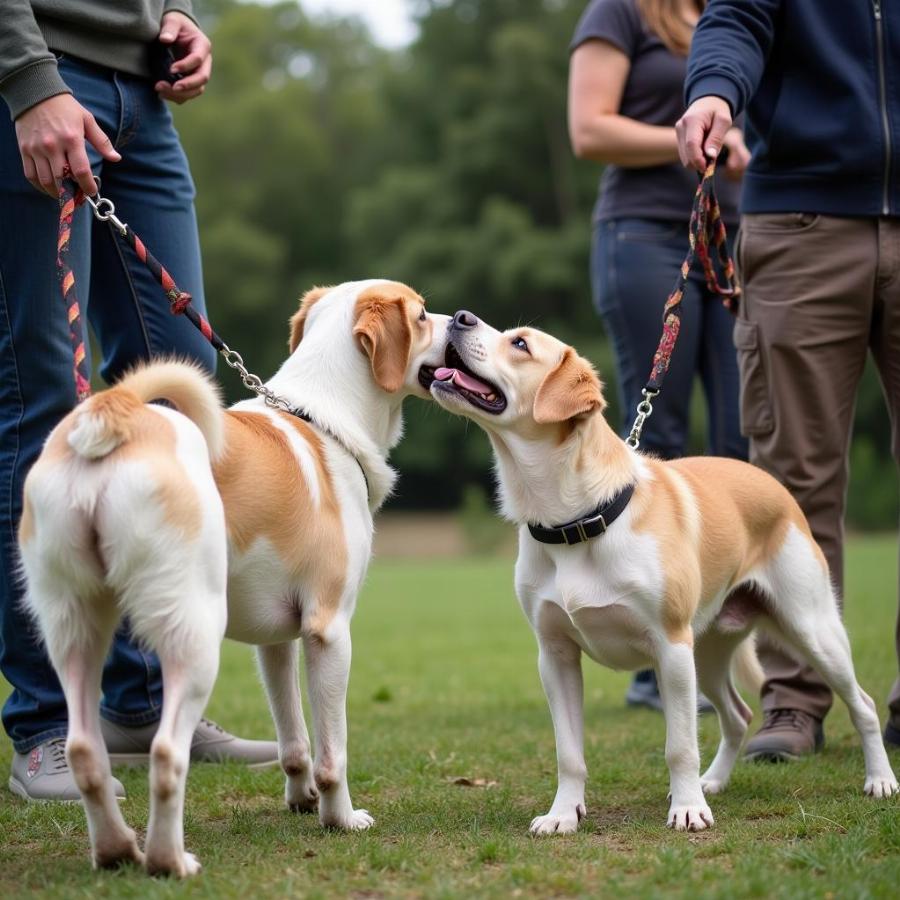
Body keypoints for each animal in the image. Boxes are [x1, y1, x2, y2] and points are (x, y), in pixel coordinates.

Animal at [21, 280, 454, 872]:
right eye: (422, 315)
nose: (463, 320)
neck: (325, 423)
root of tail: (117, 414)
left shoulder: (275, 641)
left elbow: (293, 739)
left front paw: (300, 801)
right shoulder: (328, 631)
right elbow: (332, 752)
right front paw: (339, 818)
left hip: (76, 631)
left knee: (86, 750)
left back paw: (116, 851)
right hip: (196, 636)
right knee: (166, 753)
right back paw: (169, 862)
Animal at [426, 312, 896, 832]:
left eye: (521, 344)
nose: (460, 317)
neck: (578, 521)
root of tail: (773, 485)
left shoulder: (669, 648)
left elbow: (680, 747)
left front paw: (688, 808)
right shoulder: (556, 655)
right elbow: (569, 753)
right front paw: (563, 814)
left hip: (809, 632)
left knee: (863, 705)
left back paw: (879, 780)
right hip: (707, 653)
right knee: (737, 715)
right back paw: (716, 782)